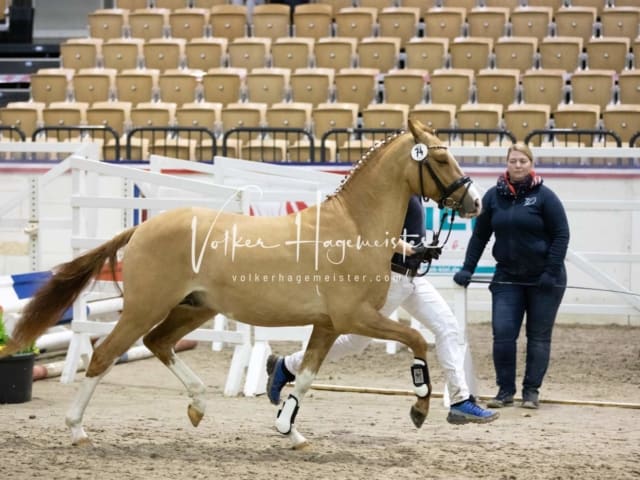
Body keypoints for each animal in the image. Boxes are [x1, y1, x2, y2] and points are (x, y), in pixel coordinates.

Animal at [1, 118, 480, 448]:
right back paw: (77, 429)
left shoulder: (329, 325)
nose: (473, 201)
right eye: (440, 158)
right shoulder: (355, 317)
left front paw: (289, 431)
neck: (354, 227)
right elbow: (415, 341)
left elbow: (304, 378)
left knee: (158, 343)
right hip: (144, 308)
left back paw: (198, 406)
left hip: (194, 308)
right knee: (104, 355)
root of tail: (141, 229)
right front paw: (419, 407)